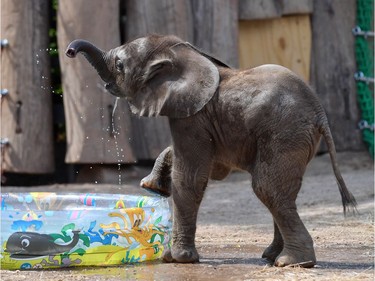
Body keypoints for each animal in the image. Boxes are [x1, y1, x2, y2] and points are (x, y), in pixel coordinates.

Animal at [67, 34, 358, 266]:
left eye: (120, 65)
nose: (69, 51)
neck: (185, 55)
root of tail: (320, 113)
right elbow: (213, 168)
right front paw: (151, 186)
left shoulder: (193, 117)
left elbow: (190, 178)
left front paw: (177, 259)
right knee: (283, 194)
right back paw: (272, 256)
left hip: (285, 133)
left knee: (268, 189)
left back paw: (291, 263)